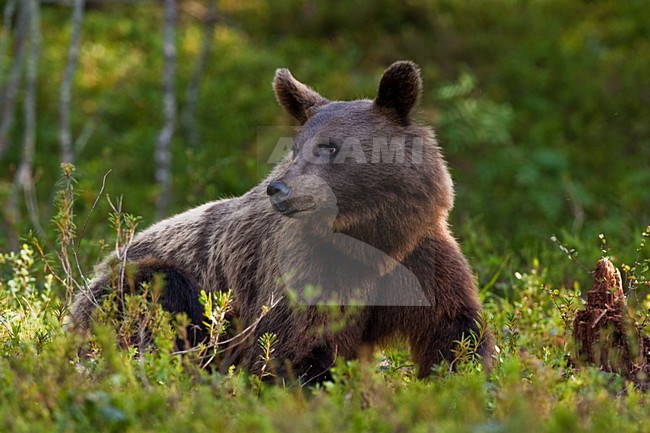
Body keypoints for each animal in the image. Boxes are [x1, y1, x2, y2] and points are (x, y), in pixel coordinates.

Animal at [71, 61, 494, 381]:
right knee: (164, 298)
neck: (371, 239)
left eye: (329, 146)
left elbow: (455, 331)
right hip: (131, 288)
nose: (279, 189)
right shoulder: (304, 268)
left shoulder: (420, 257)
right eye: (296, 147)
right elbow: (295, 345)